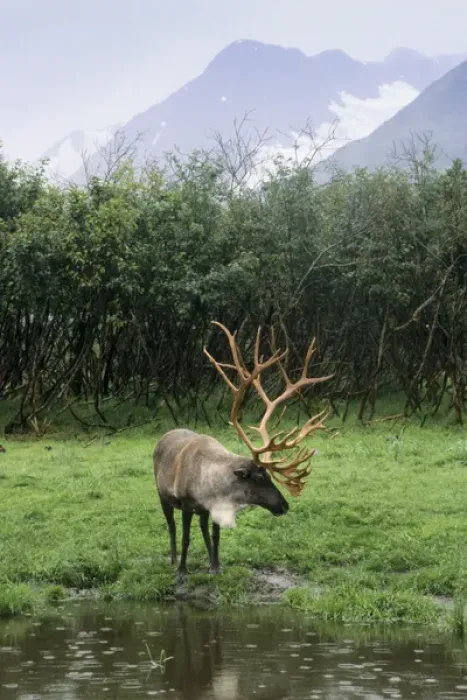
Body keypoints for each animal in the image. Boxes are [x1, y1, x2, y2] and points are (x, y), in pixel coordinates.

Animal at [153, 322, 332, 578]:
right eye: (258, 477)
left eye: (268, 475)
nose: (284, 505)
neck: (211, 486)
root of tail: (164, 435)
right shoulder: (186, 503)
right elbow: (187, 537)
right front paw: (182, 571)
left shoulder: (212, 507)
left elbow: (216, 536)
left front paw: (216, 565)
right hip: (162, 495)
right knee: (172, 527)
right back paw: (173, 559)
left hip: (199, 510)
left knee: (203, 528)